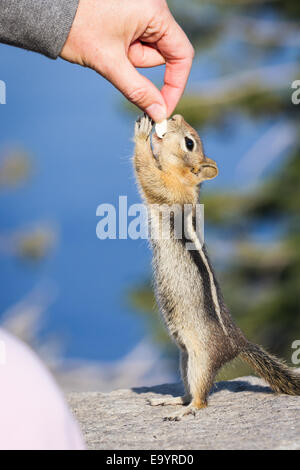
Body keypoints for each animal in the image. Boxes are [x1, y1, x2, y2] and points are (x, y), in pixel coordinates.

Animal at [134, 114, 300, 422]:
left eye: (189, 142)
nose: (173, 116)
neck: (188, 182)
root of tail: (237, 342)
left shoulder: (167, 188)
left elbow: (147, 172)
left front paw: (142, 134)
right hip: (184, 358)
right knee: (188, 390)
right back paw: (170, 401)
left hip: (200, 360)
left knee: (201, 398)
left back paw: (184, 412)